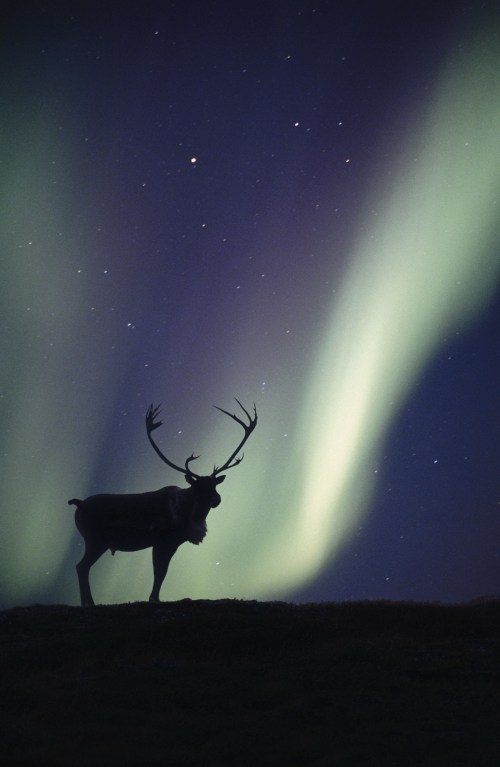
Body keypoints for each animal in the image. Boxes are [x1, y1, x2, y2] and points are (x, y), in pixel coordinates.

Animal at [69, 399, 257, 606]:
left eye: (214, 484)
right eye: (198, 486)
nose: (217, 499)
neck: (189, 517)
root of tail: (78, 503)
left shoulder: (173, 543)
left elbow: (163, 572)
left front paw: (156, 597)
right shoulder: (160, 540)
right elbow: (159, 572)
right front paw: (153, 599)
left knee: (82, 567)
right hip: (95, 540)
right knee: (81, 567)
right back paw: (88, 603)